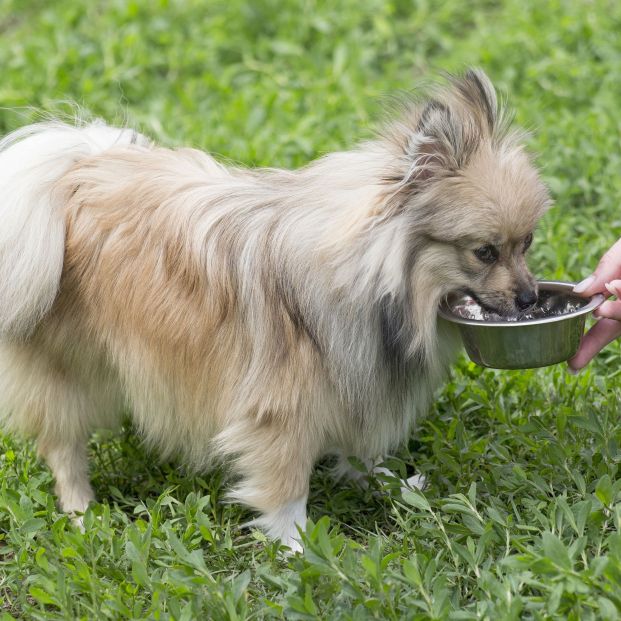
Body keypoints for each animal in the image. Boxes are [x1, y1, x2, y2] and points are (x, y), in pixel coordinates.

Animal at [0, 70, 548, 548]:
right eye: (484, 252)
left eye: (527, 243)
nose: (530, 298)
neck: (378, 283)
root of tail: (77, 172)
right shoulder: (281, 413)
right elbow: (287, 489)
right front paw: (299, 549)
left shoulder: (356, 380)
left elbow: (363, 450)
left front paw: (389, 486)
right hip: (65, 371)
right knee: (63, 447)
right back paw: (81, 511)